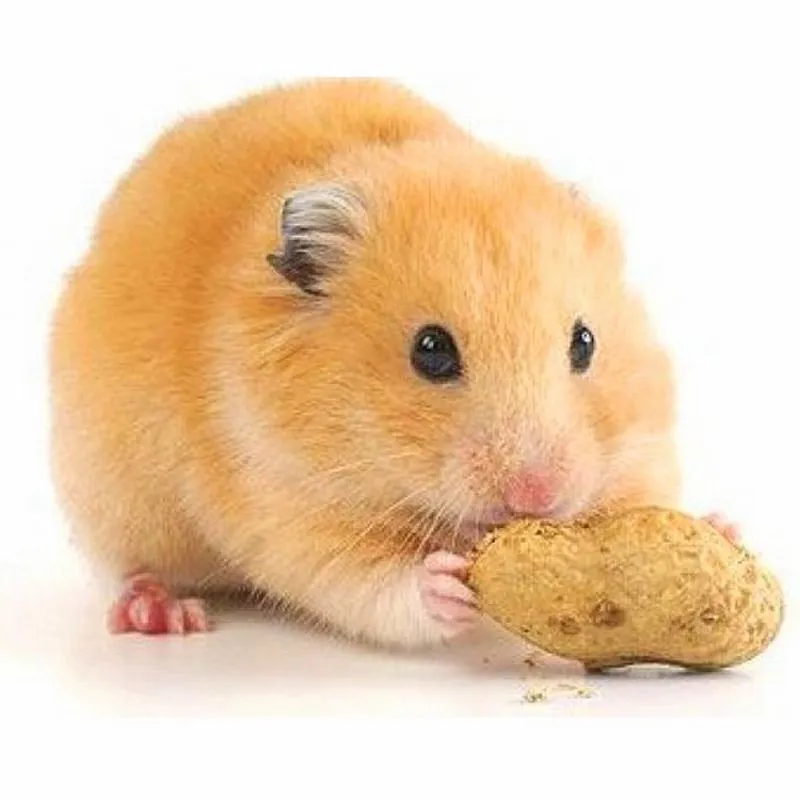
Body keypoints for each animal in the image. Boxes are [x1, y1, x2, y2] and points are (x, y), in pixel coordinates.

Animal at [49, 78, 686, 647]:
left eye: (585, 342)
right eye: (431, 351)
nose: (537, 496)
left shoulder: (641, 446)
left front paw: (710, 525)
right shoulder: (283, 498)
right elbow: (366, 583)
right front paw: (447, 584)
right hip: (111, 491)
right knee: (130, 566)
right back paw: (162, 613)